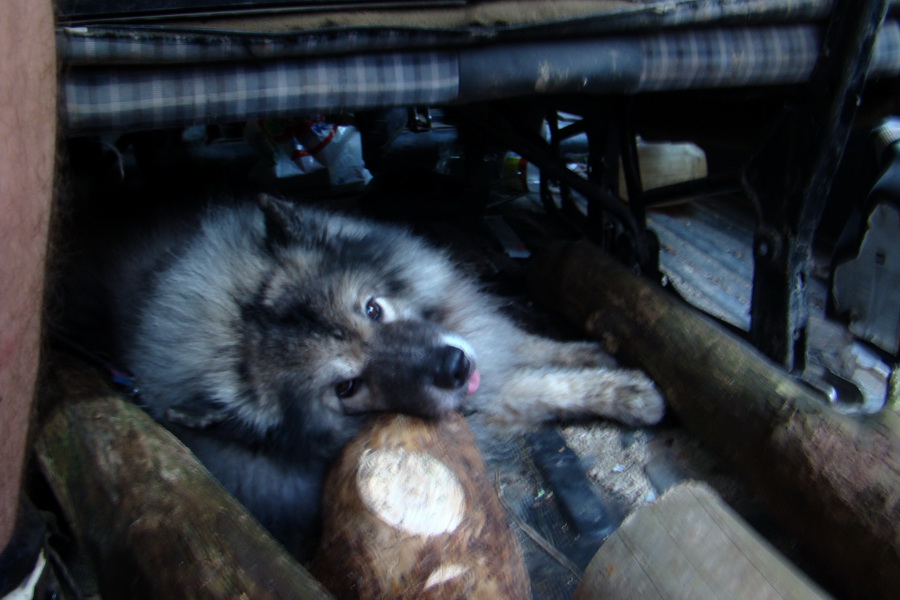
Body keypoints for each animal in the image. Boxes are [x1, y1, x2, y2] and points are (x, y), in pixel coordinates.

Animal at [54, 195, 660, 560]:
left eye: (372, 308)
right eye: (345, 389)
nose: (453, 367)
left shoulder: (477, 337)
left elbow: (524, 344)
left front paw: (589, 351)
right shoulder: (486, 400)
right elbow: (543, 386)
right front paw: (634, 393)